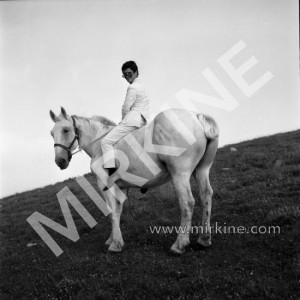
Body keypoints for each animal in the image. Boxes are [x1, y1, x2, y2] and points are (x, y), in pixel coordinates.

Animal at [49, 106, 218, 254]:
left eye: (66, 130)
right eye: (51, 133)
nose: (60, 161)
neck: (98, 143)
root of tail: (196, 116)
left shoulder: (103, 184)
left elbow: (111, 211)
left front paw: (116, 244)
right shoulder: (121, 187)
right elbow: (117, 211)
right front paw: (113, 238)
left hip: (179, 174)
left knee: (187, 203)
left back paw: (179, 244)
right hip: (201, 171)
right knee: (206, 196)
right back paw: (204, 238)